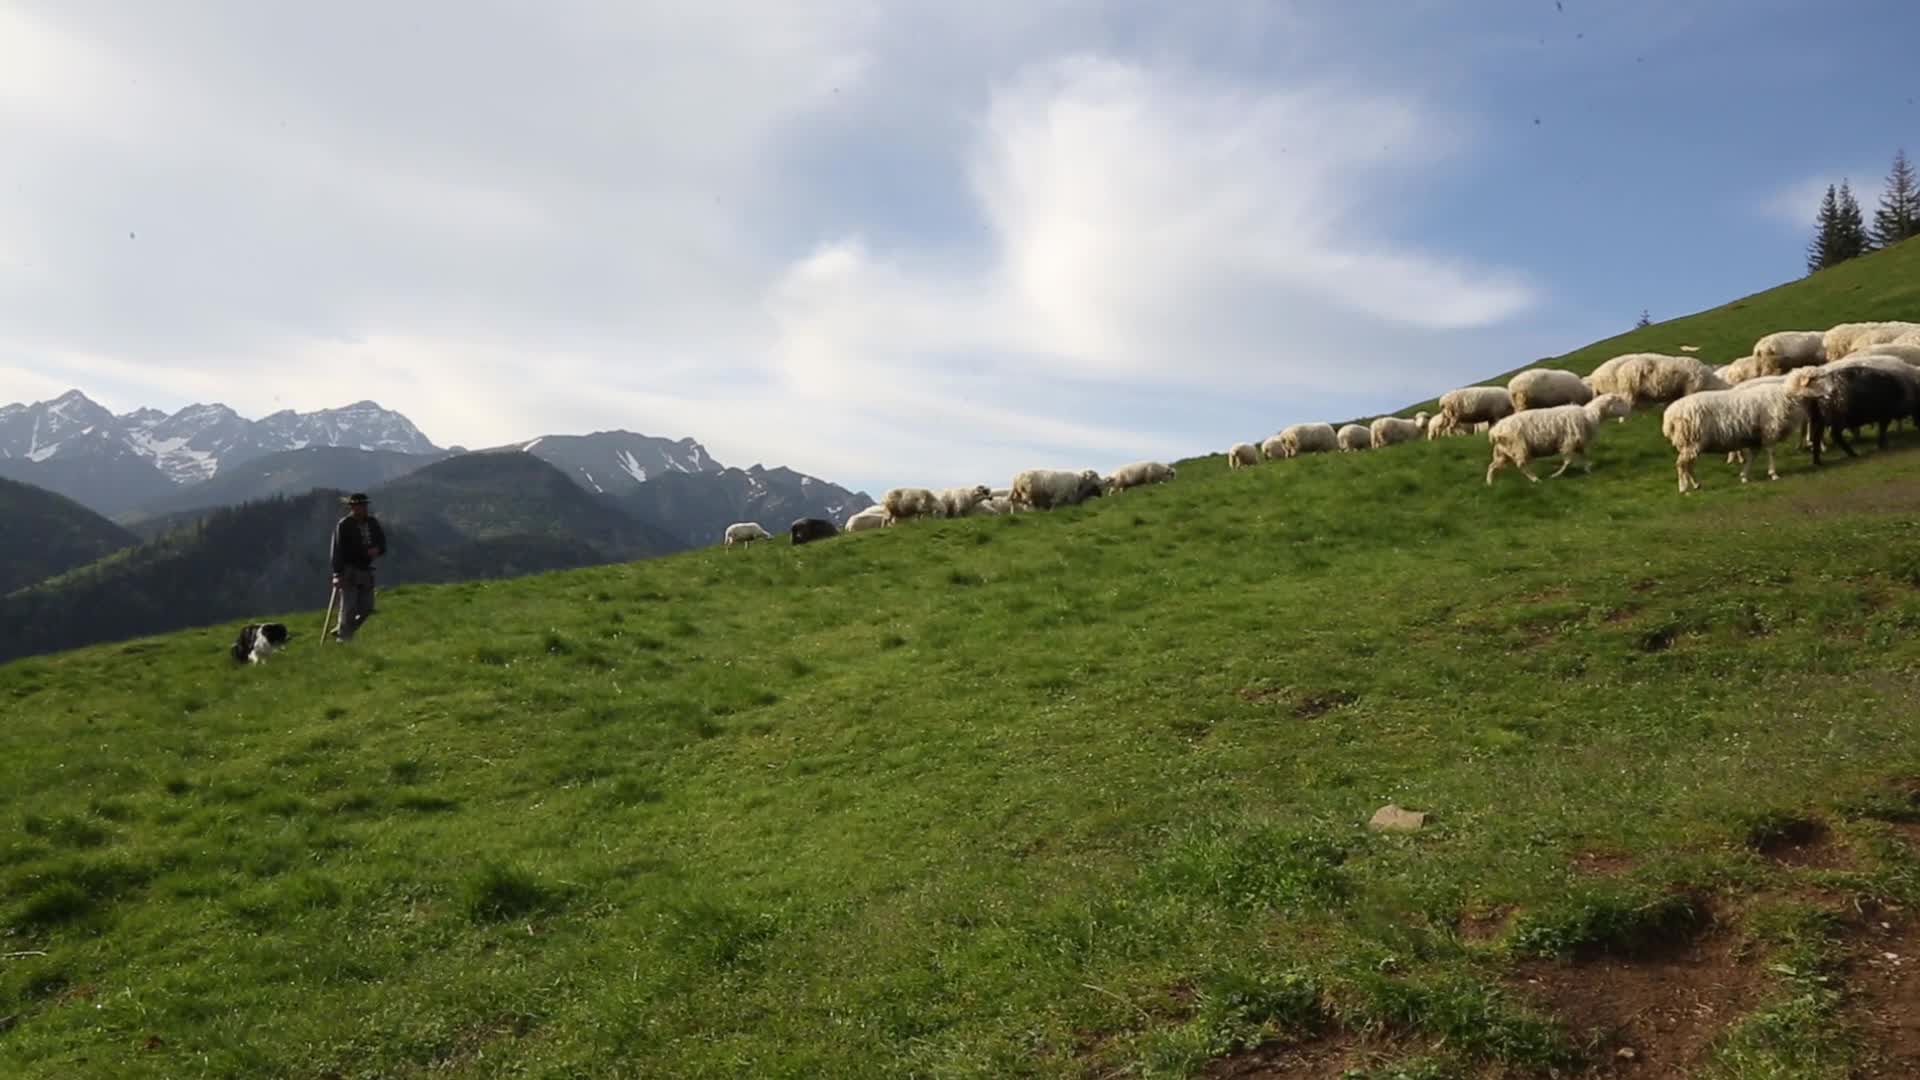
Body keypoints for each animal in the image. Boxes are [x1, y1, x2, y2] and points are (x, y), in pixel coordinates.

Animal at [1483, 393, 1631, 485]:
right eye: (1619, 401)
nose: (1629, 409)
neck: (1590, 414)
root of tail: (1495, 430)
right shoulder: (1569, 442)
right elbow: (1568, 461)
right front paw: (1556, 475)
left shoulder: (1578, 443)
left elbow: (1584, 457)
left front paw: (1588, 469)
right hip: (1518, 446)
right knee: (1521, 465)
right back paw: (1536, 480)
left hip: (1503, 452)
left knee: (1492, 466)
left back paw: (1489, 483)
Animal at [1661, 383, 1808, 493]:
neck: (1787, 396)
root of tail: (1669, 417)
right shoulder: (1769, 431)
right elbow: (1771, 452)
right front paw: (1773, 474)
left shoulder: (1756, 437)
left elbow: (1753, 457)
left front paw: (1744, 476)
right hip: (1691, 440)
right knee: (1681, 465)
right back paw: (1683, 488)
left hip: (1689, 443)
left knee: (1688, 465)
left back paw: (1696, 484)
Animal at [1784, 362, 1920, 464]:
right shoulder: (1885, 415)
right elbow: (1882, 430)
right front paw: (1882, 445)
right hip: (1837, 418)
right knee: (1835, 436)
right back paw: (1852, 454)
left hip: (1819, 419)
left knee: (1817, 438)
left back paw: (1817, 461)